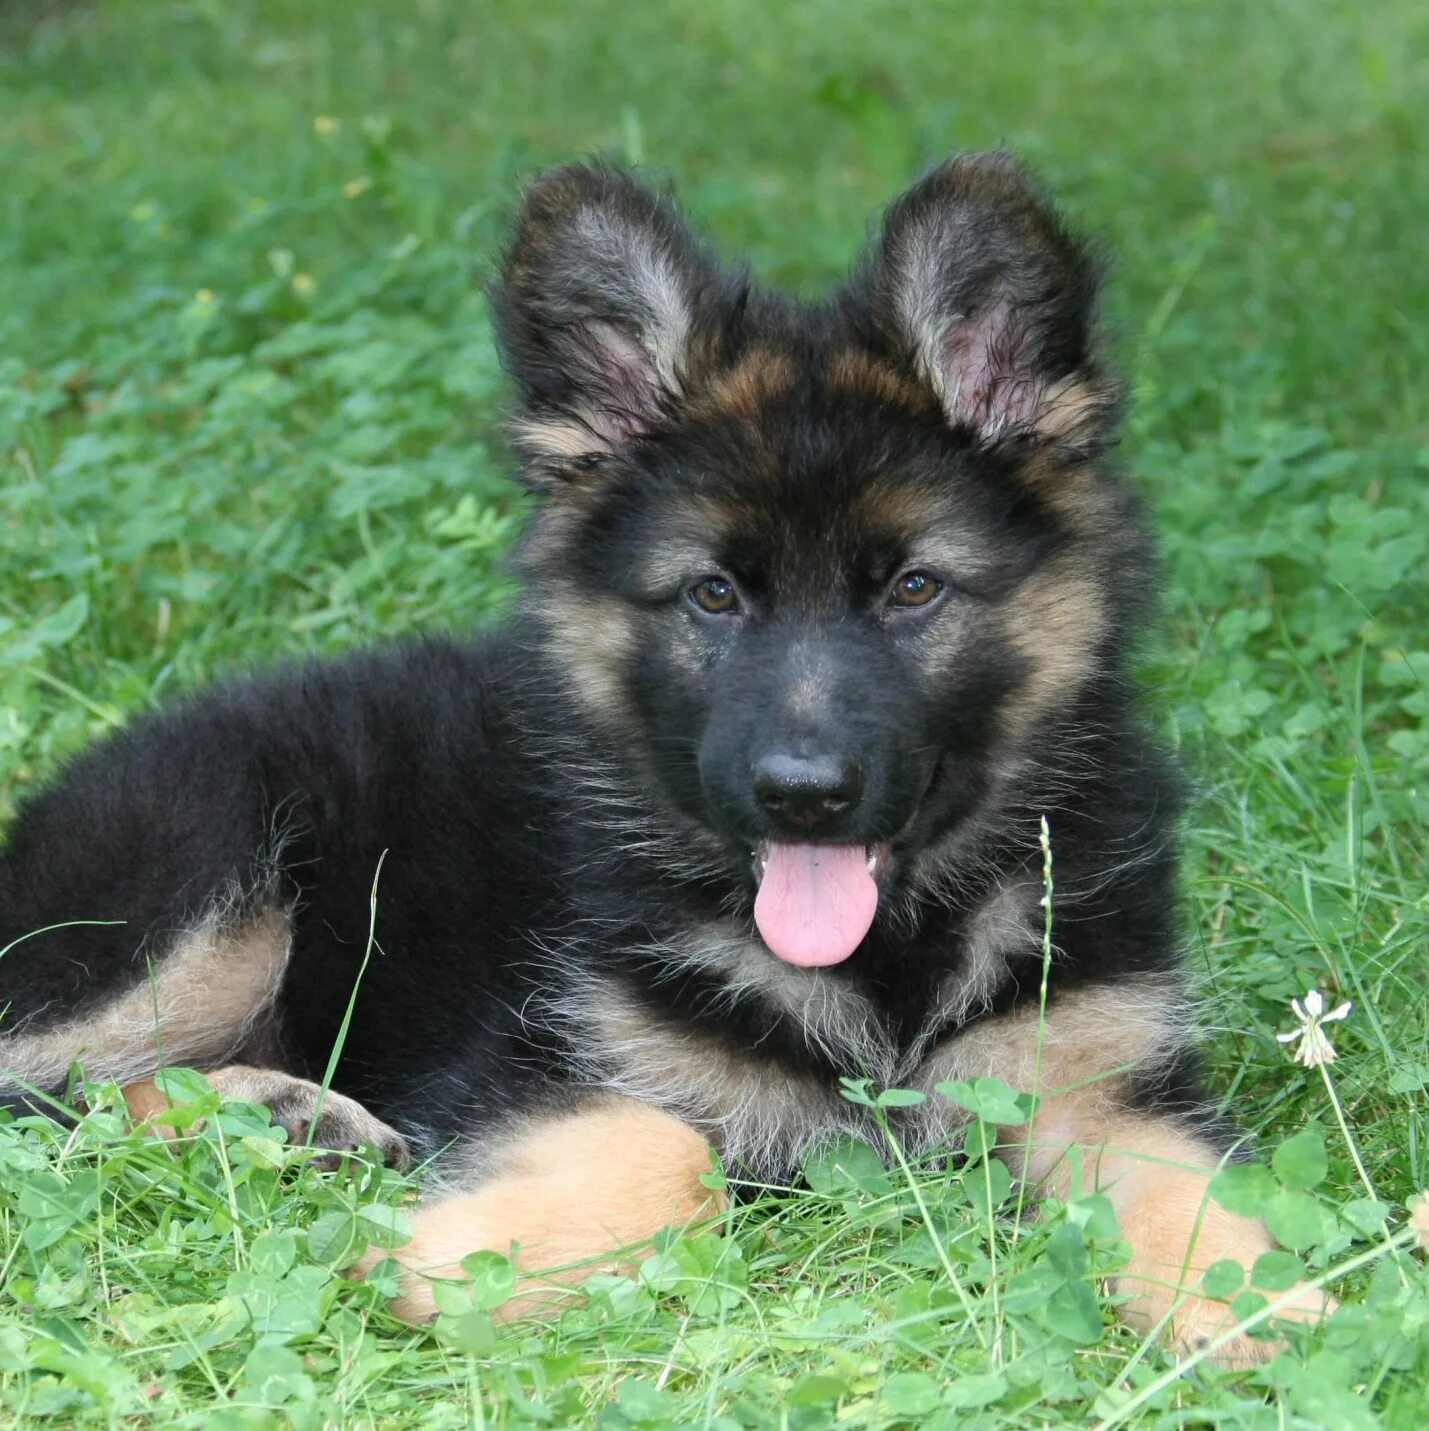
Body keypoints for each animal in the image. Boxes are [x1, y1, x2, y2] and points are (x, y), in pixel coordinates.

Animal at [0, 156, 1327, 1362]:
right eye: (712, 595)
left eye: (911, 590)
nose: (802, 797)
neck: (888, 961)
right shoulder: (542, 1059)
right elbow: (674, 1147)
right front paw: (442, 1264)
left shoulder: (1103, 1085)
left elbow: (1192, 1195)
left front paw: (1275, 1314)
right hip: (204, 892)